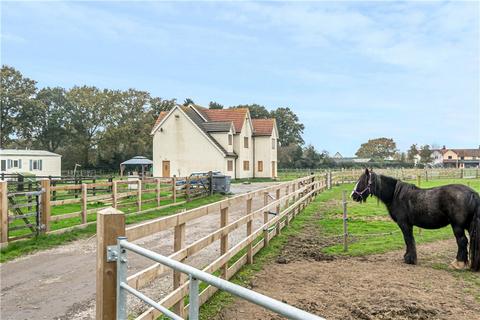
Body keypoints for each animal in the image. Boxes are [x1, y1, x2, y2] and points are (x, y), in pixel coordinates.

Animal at [350, 169, 478, 272]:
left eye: (362, 181)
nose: (353, 196)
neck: (395, 195)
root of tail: (472, 193)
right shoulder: (408, 225)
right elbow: (409, 240)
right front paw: (408, 257)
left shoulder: (404, 224)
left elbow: (408, 239)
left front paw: (410, 259)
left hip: (457, 226)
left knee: (462, 241)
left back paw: (457, 264)